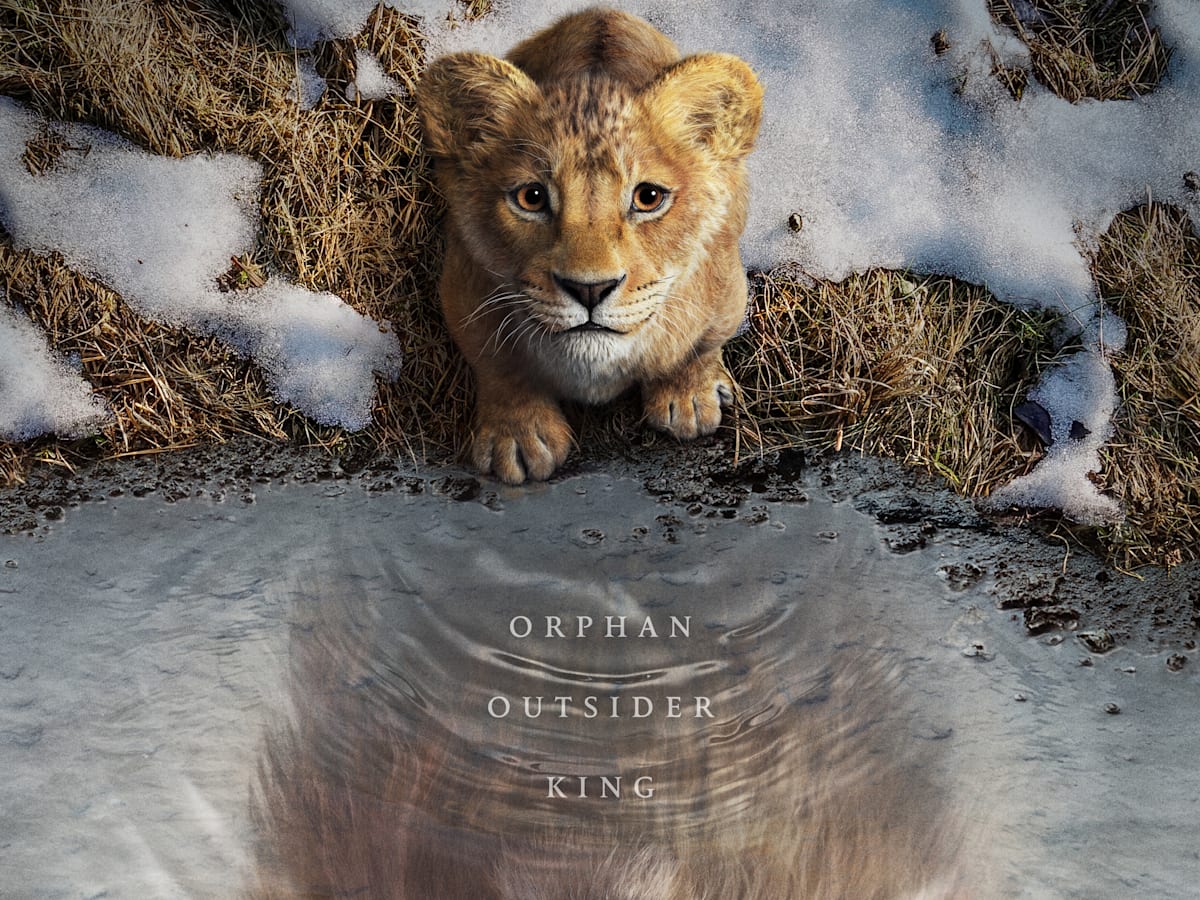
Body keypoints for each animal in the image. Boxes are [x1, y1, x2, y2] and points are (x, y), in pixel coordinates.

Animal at [417, 8, 763, 484]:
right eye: (531, 197)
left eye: (648, 197)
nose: (589, 289)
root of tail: (602, 12)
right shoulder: (463, 288)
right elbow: (498, 365)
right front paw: (518, 437)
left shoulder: (726, 289)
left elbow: (700, 346)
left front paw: (689, 399)